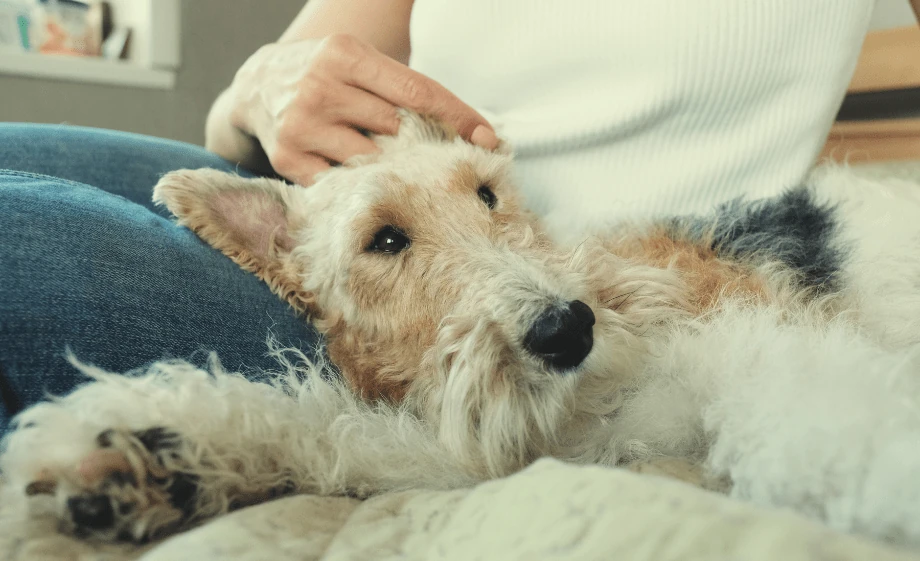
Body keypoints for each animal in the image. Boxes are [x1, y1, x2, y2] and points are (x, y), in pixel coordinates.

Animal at [5, 111, 920, 544]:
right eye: (384, 240)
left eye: (487, 191)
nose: (565, 329)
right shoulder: (511, 444)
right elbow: (337, 432)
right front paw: (136, 454)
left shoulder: (757, 346)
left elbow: (841, 425)